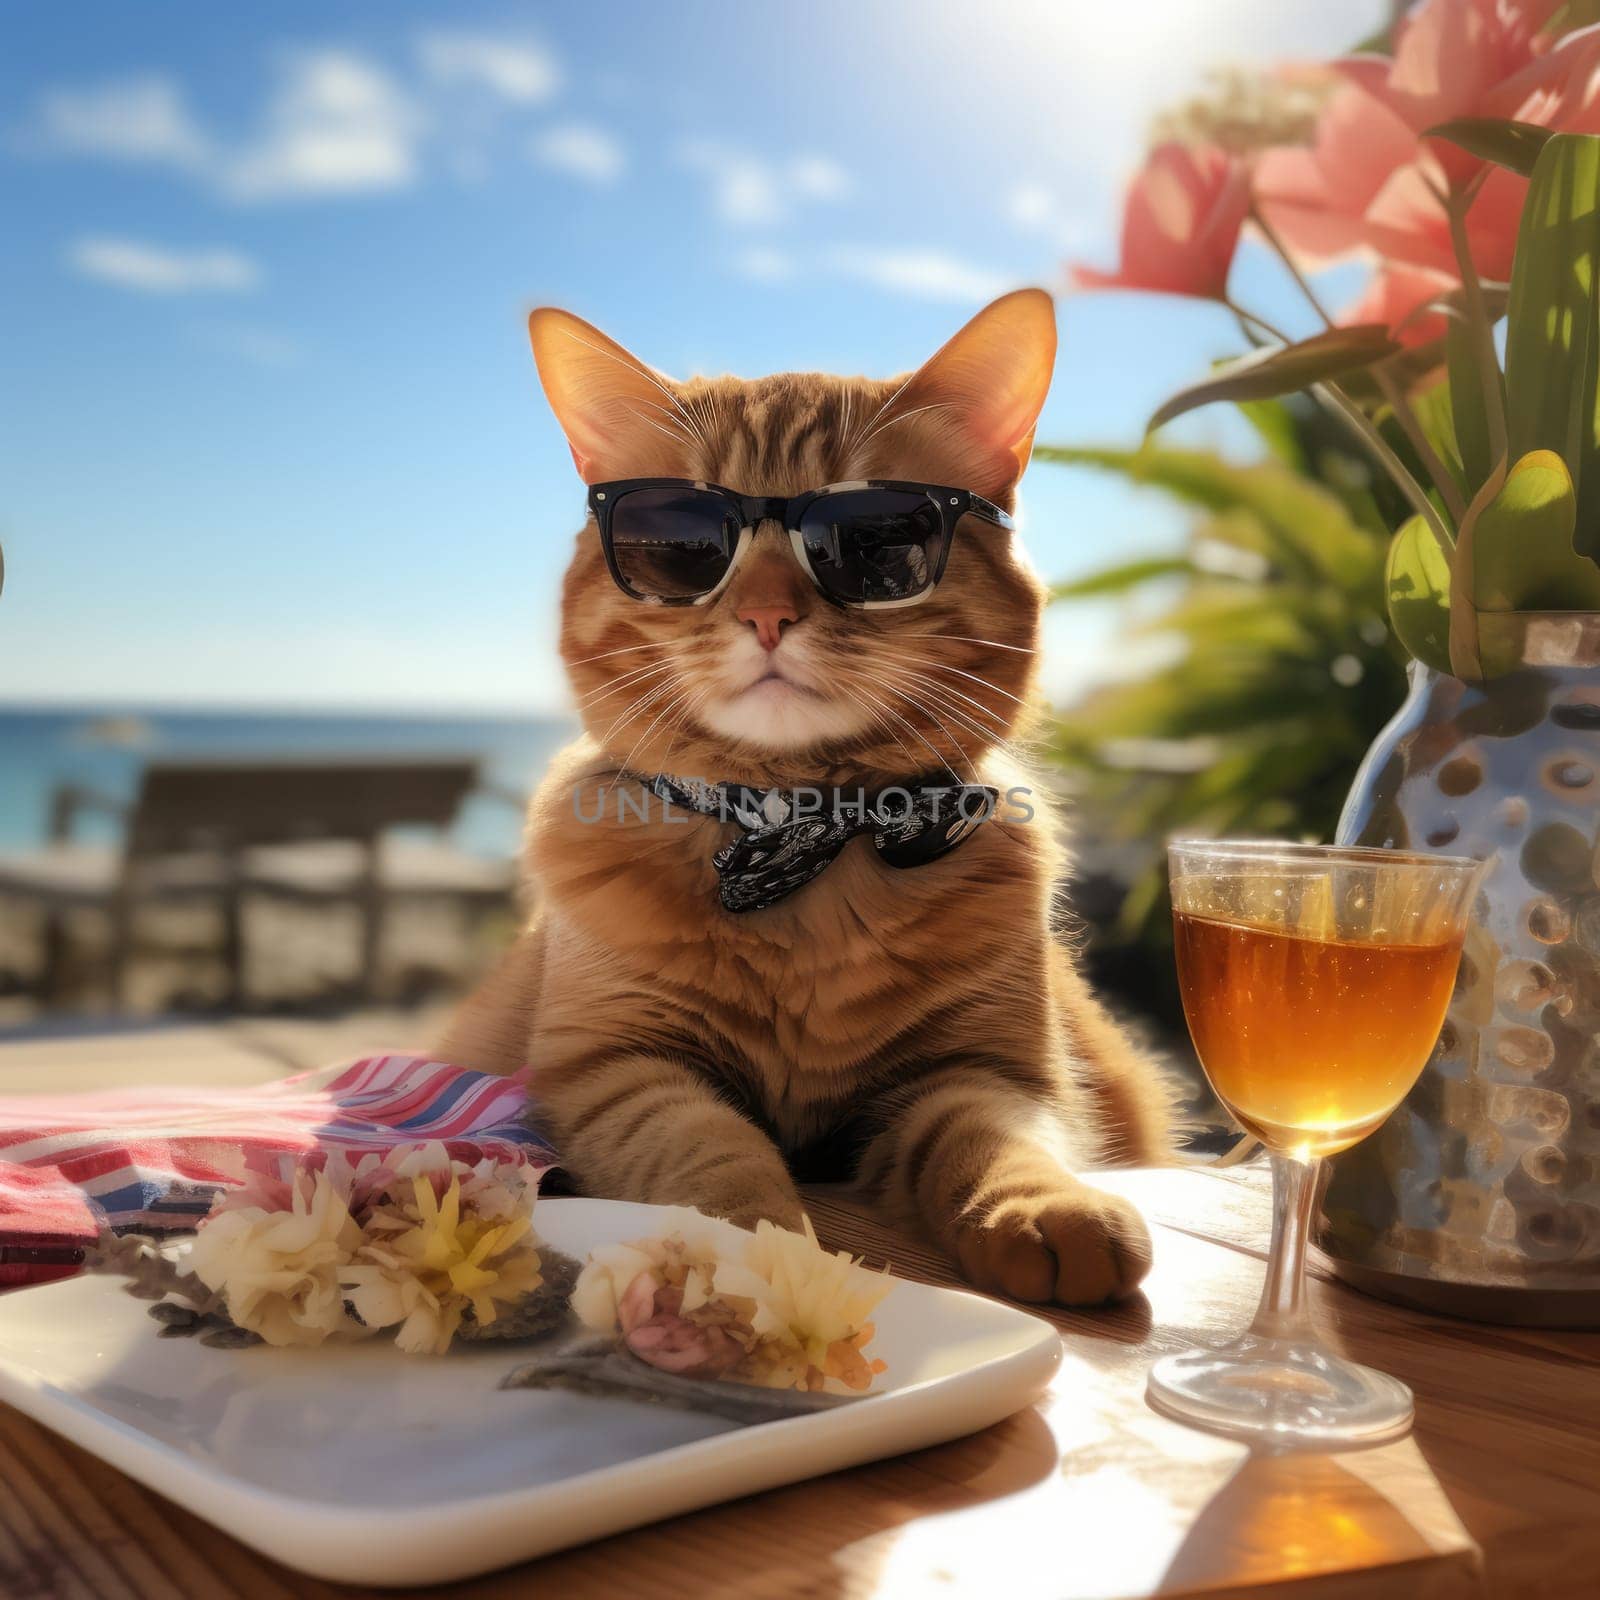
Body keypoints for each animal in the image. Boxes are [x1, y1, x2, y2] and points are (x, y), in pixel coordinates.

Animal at [438, 291, 1177, 1312]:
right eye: (681, 542)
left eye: (877, 538)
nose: (766, 614)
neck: (803, 833)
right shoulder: (614, 1069)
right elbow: (714, 1153)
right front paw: (756, 1250)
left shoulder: (986, 1070)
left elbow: (998, 1142)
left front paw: (1048, 1208)